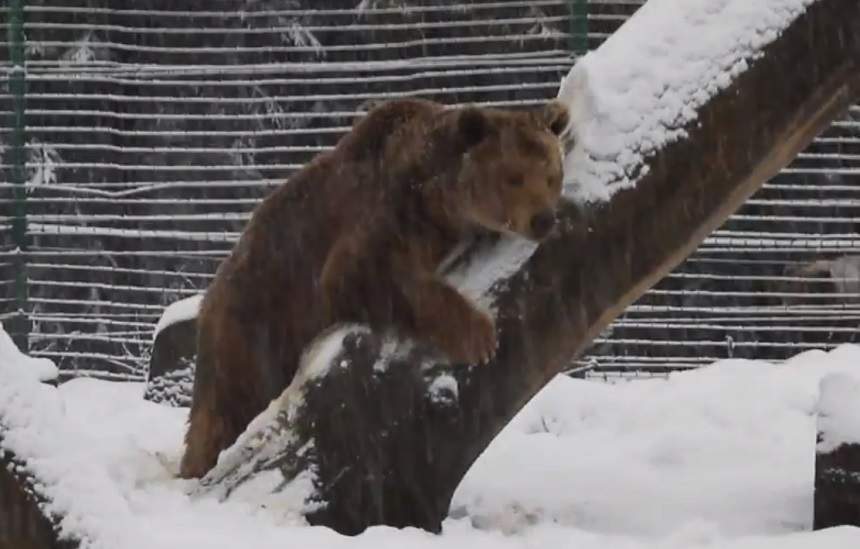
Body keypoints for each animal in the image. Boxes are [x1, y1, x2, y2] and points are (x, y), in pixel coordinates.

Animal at [180, 98, 572, 480]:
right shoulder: (380, 221)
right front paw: (479, 337)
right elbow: (372, 275)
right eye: (514, 177)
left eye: (552, 175)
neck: (437, 202)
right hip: (254, 327)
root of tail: (210, 297)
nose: (543, 219)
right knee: (226, 411)